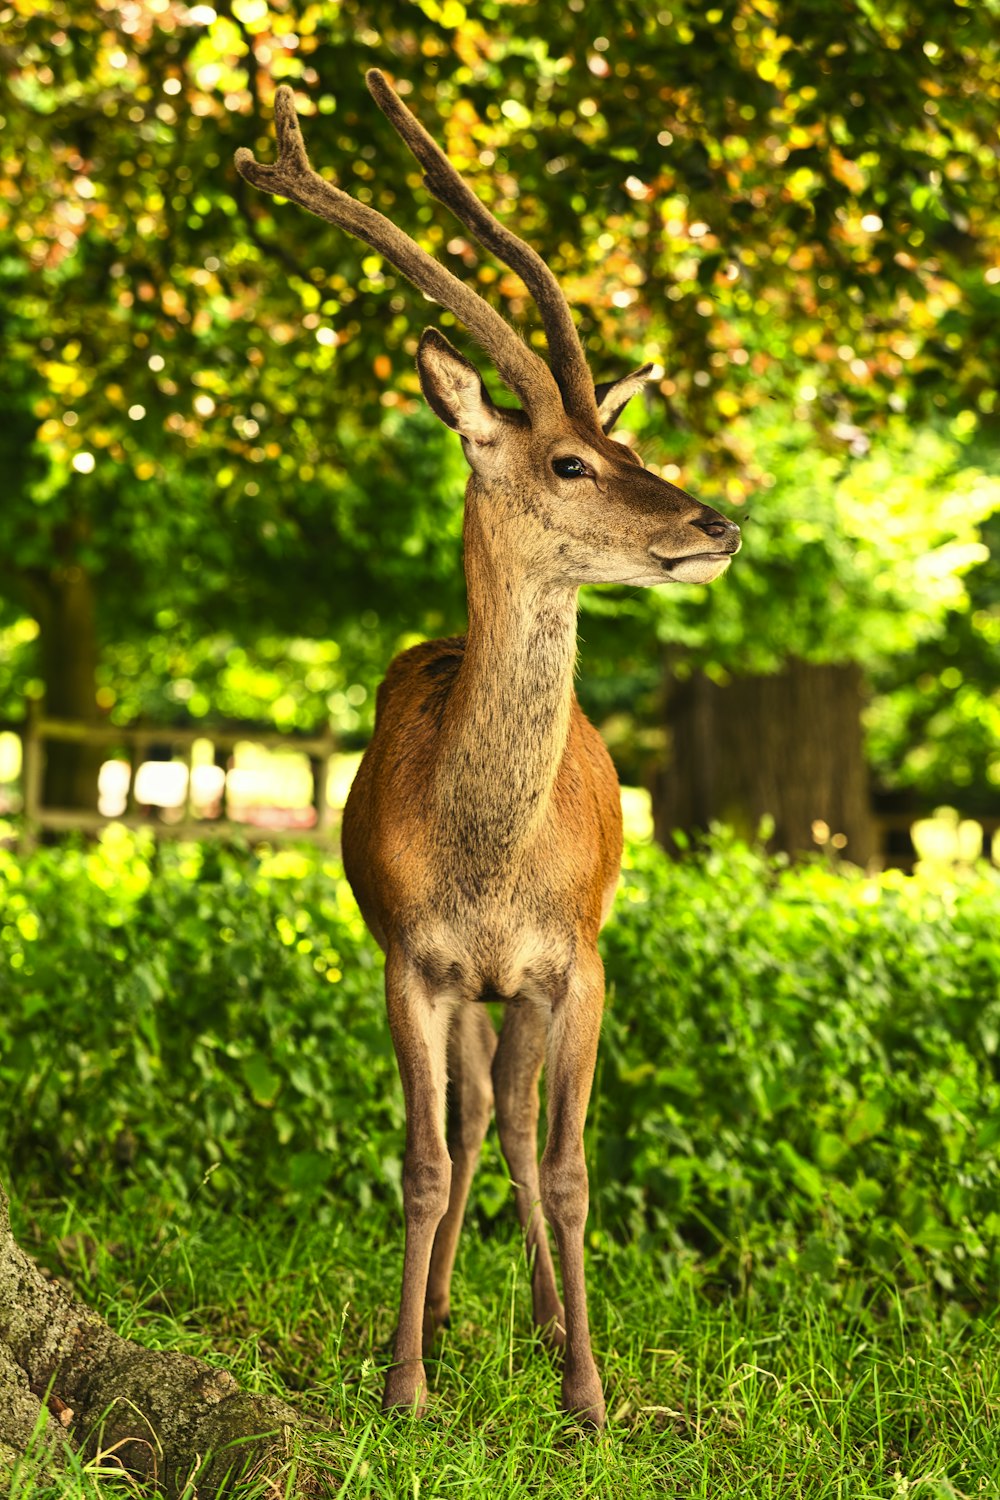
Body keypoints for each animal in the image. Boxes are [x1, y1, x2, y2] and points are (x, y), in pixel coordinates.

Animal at [232, 73, 734, 1428]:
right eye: (571, 461)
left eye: (628, 447)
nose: (717, 523)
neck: (492, 867)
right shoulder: (410, 957)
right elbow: (418, 1157)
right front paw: (403, 1382)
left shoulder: (580, 958)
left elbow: (566, 1169)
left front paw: (589, 1398)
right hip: (464, 993)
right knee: (469, 1130)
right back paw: (452, 1311)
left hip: (525, 992)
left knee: (510, 1130)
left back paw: (549, 1320)